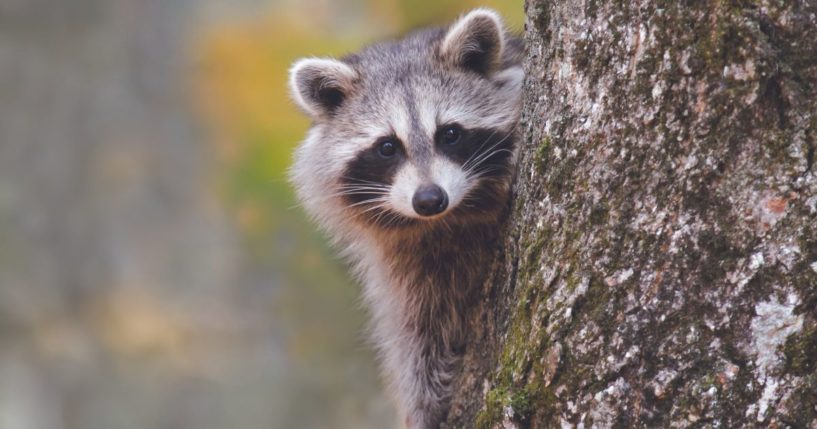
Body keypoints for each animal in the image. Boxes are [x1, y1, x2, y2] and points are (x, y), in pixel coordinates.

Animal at [286, 8, 524, 426]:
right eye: (387, 147)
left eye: (449, 134)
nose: (429, 199)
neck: (446, 222)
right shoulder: (405, 263)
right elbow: (416, 332)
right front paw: (424, 399)